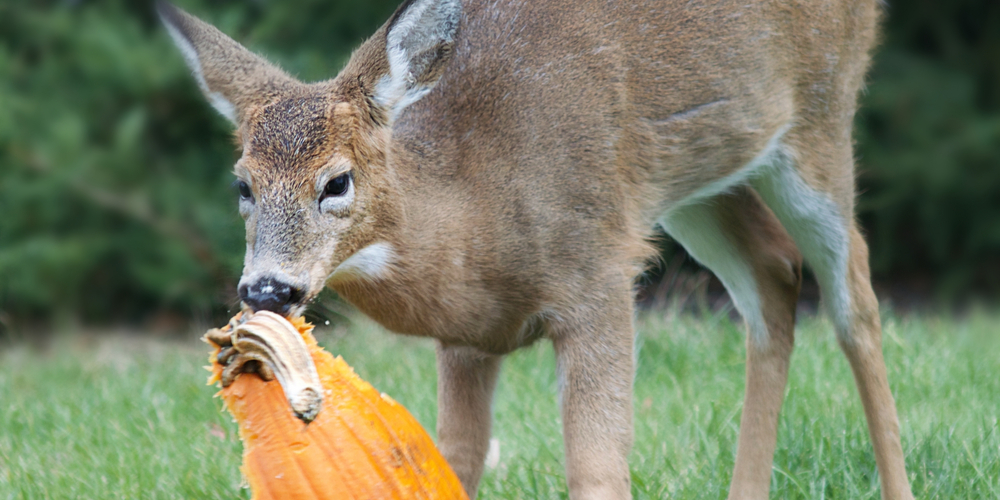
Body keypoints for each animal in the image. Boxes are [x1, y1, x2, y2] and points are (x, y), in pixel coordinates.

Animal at [162, 0, 916, 498]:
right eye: (242, 184)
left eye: (337, 182)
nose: (267, 290)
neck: (479, 212)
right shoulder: (466, 338)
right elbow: (455, 457)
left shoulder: (598, 277)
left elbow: (597, 468)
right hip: (696, 171)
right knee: (773, 272)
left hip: (819, 117)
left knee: (855, 295)